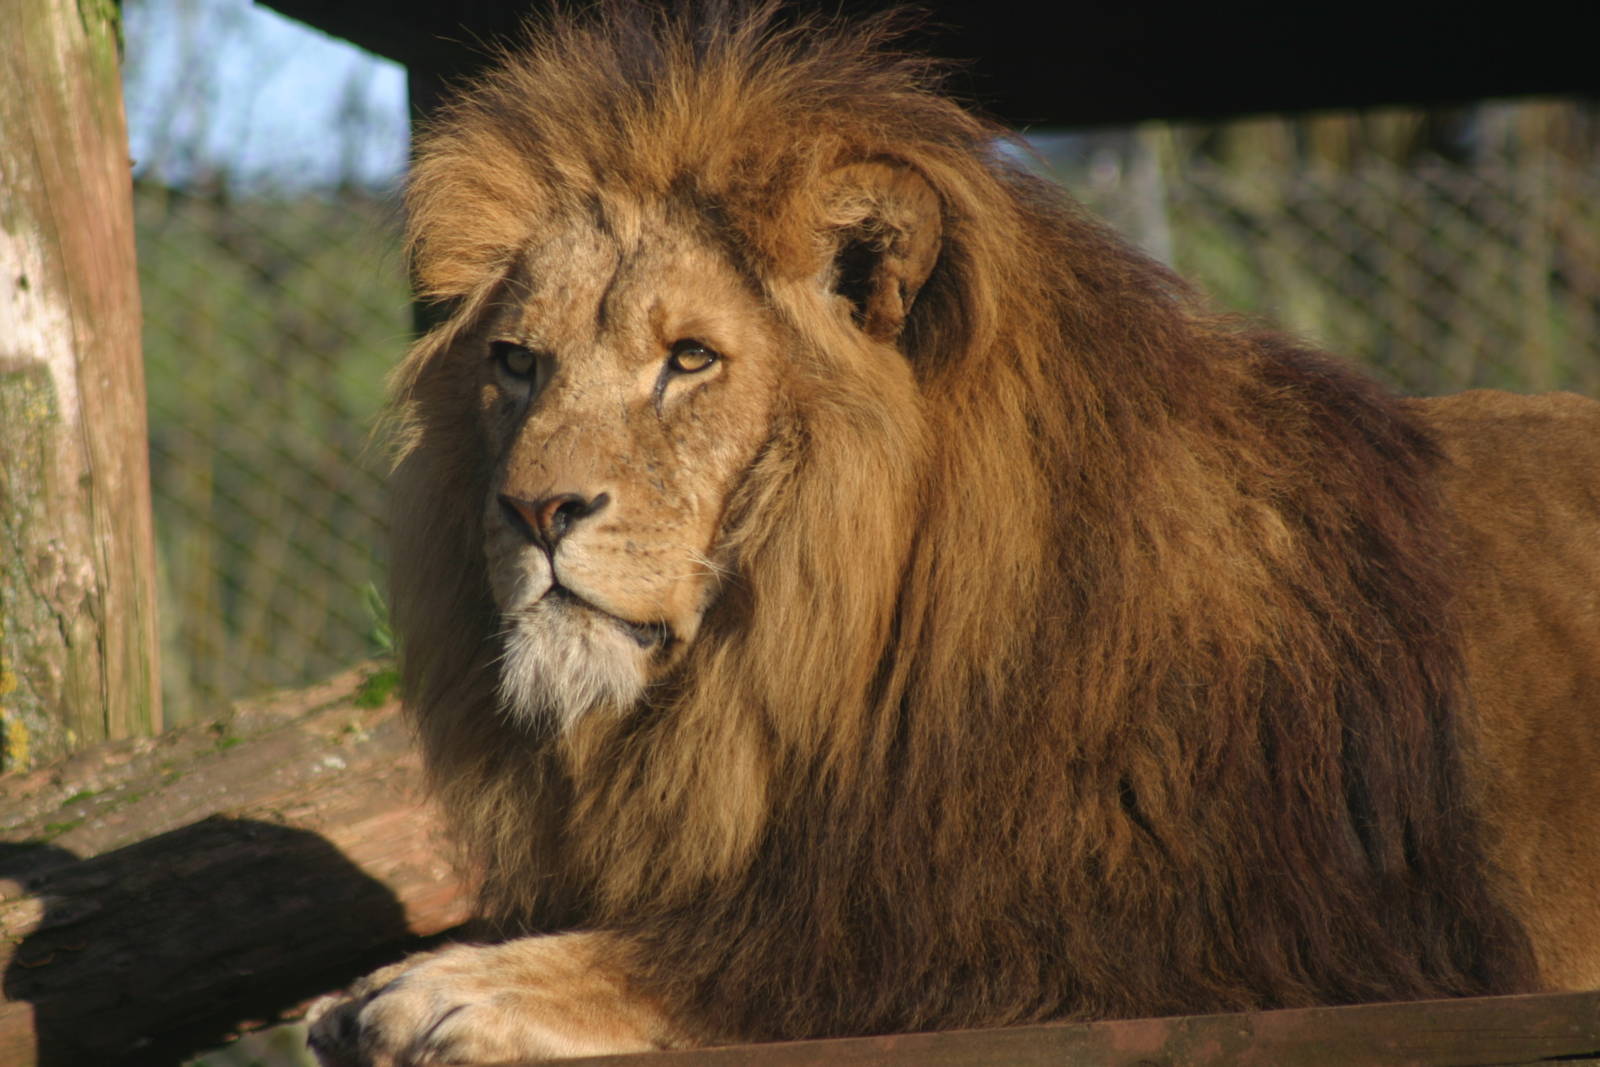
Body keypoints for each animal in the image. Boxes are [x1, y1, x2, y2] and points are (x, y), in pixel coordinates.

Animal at [308, 4, 1600, 1064]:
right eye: (516, 363)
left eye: (689, 359)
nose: (535, 510)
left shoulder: (1207, 920)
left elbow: (739, 957)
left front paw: (451, 987)